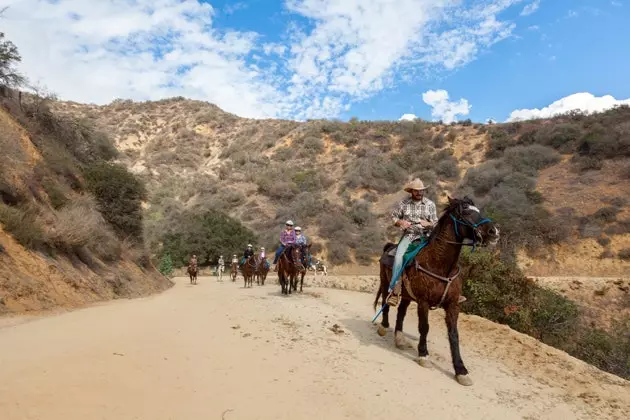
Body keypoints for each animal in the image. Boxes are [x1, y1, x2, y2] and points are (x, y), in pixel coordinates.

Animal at [372, 197, 502, 388]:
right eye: (465, 213)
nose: (494, 231)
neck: (440, 265)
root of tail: (389, 246)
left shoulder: (453, 305)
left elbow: (454, 335)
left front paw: (461, 370)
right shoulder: (423, 302)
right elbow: (424, 327)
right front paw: (424, 355)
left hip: (407, 295)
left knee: (401, 311)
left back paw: (400, 338)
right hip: (385, 282)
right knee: (385, 303)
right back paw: (383, 326)